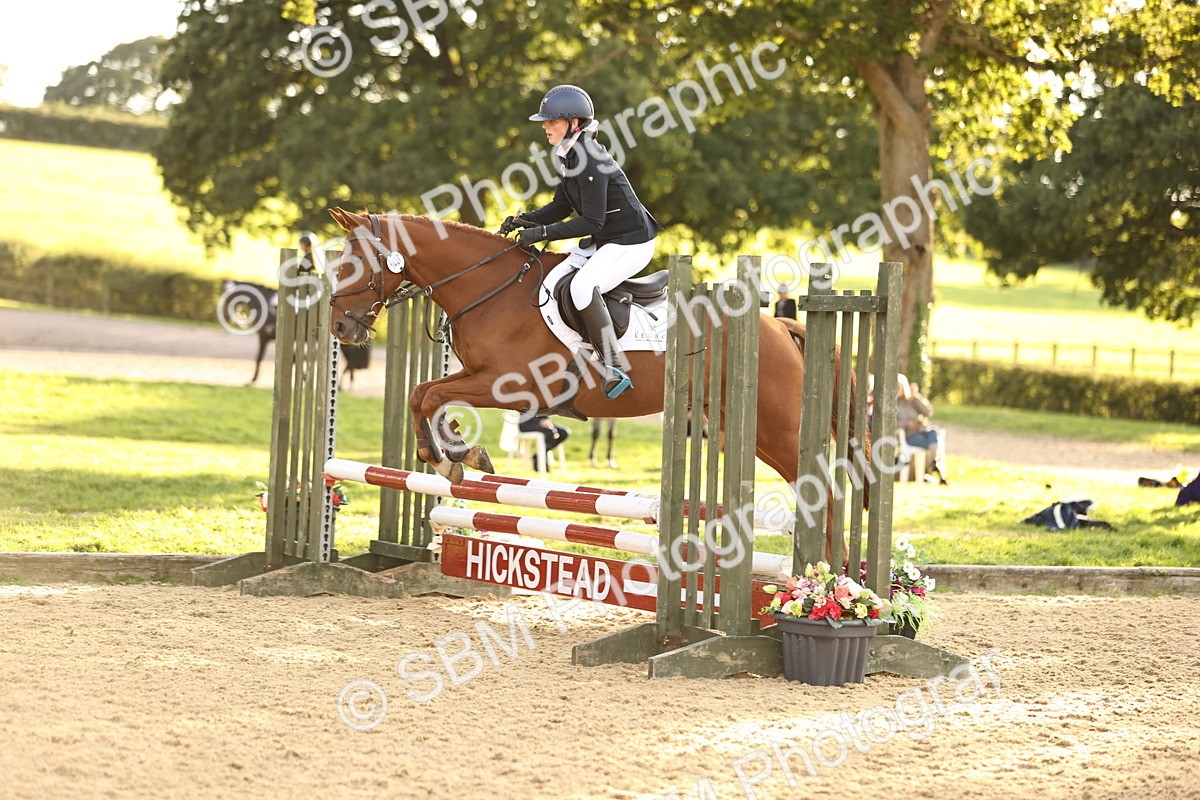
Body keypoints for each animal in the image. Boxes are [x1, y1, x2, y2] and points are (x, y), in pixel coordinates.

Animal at [325, 209, 858, 517]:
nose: (340, 329)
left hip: (777, 428)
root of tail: (780, 327)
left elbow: (432, 394)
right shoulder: (479, 376)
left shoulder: (510, 386)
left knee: (825, 494)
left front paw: (449, 456)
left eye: (354, 262)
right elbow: (423, 394)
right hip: (742, 426)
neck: (489, 288)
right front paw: (457, 453)